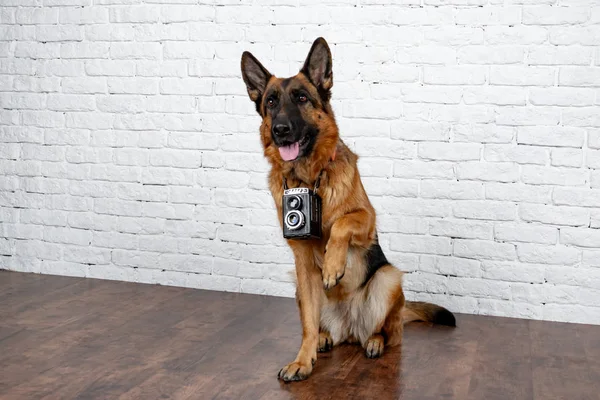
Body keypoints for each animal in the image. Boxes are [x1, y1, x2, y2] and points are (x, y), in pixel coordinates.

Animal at [240, 38, 454, 384]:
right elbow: (307, 325)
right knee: (319, 325)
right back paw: (324, 338)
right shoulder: (301, 262)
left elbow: (341, 223)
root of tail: (350, 330)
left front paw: (332, 266)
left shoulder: (367, 220)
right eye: (271, 102)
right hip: (299, 286)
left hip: (387, 279)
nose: (281, 130)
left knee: (391, 332)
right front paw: (302, 361)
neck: (311, 179)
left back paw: (375, 341)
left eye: (301, 98)